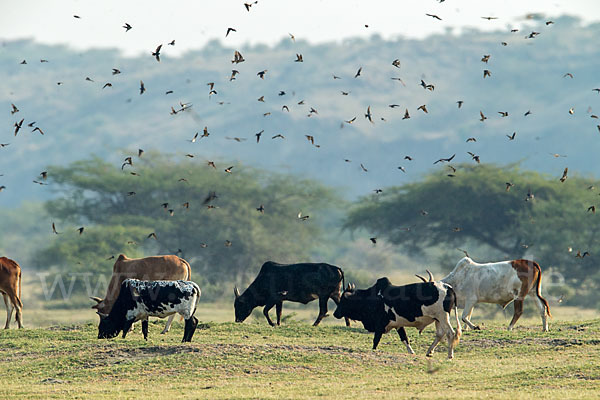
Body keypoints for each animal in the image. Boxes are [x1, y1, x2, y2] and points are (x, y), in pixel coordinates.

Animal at [332, 278, 460, 360]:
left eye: (343, 299)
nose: (335, 313)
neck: (371, 298)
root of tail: (448, 287)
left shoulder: (380, 325)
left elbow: (375, 341)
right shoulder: (398, 325)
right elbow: (405, 339)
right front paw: (411, 352)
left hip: (443, 317)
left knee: (450, 333)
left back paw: (450, 355)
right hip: (438, 319)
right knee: (440, 334)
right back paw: (429, 352)